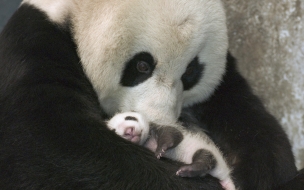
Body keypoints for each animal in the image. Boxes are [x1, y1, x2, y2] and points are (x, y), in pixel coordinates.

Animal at [0, 0, 298, 189]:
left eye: (191, 73)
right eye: (142, 65)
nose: (158, 120)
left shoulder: (224, 80)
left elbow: (252, 124)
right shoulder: (37, 43)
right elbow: (52, 146)